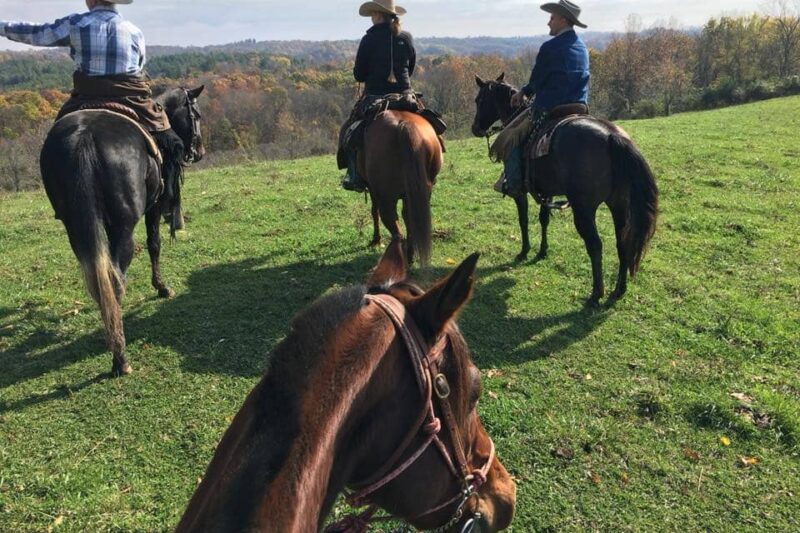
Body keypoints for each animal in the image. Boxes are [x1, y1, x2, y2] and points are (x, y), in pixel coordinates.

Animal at [40, 85, 205, 374]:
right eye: (195, 114)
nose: (199, 151)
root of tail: (84, 137)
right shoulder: (154, 206)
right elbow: (154, 244)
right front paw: (161, 287)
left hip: (76, 227)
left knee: (98, 277)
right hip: (125, 225)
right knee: (116, 277)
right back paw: (120, 357)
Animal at [362, 110, 444, 266]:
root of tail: (404, 125)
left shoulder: (373, 189)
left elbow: (374, 212)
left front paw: (376, 240)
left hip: (386, 196)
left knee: (393, 225)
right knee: (408, 217)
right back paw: (411, 255)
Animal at [476, 76, 656, 308]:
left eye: (479, 100)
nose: (475, 128)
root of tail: (612, 136)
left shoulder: (520, 192)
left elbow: (523, 220)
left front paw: (524, 251)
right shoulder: (547, 191)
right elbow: (544, 219)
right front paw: (542, 251)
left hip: (584, 210)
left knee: (595, 245)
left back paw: (596, 294)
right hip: (619, 205)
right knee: (622, 241)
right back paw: (619, 290)